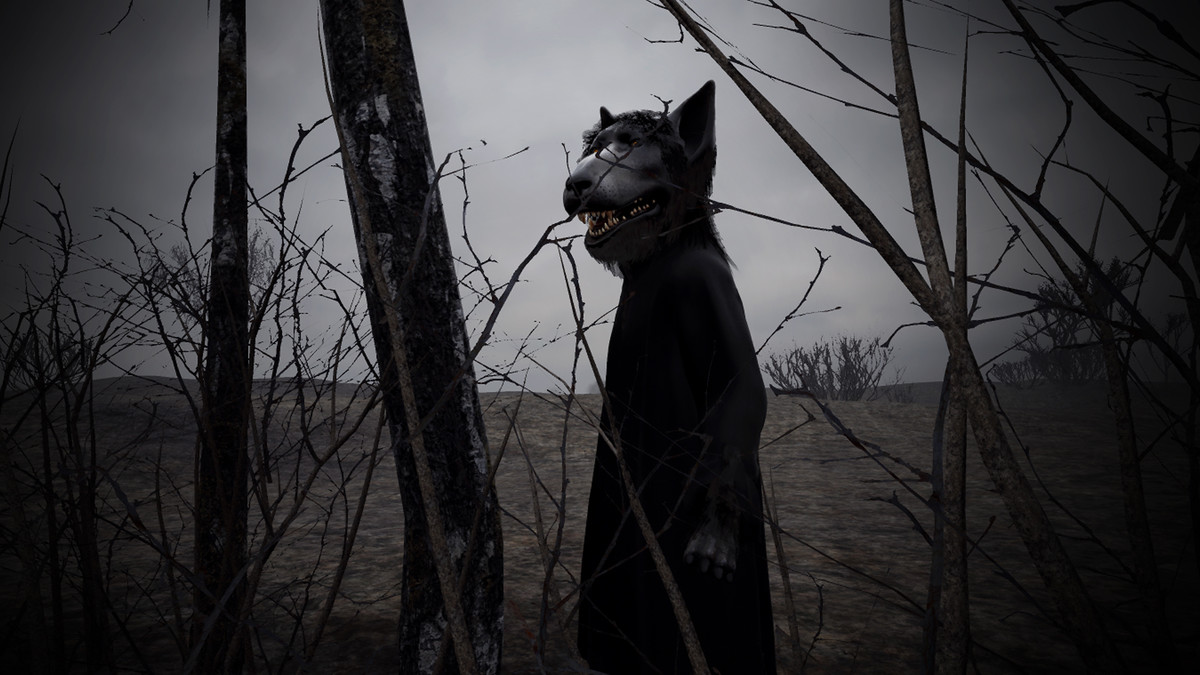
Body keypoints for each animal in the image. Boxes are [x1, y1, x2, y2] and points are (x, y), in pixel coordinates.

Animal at [563, 81, 777, 674]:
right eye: (599, 144)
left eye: (634, 144)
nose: (575, 183)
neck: (665, 251)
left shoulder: (709, 286)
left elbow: (743, 393)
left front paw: (715, 536)